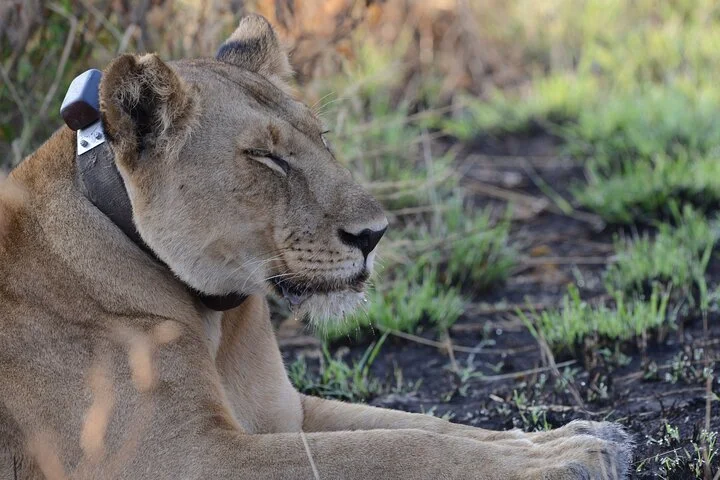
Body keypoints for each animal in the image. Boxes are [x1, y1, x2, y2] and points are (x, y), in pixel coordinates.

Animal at [0, 14, 631, 479]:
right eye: (266, 157)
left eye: (321, 137)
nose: (374, 234)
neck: (214, 317)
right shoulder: (183, 459)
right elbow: (396, 449)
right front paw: (563, 459)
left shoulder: (286, 411)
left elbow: (425, 425)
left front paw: (574, 437)